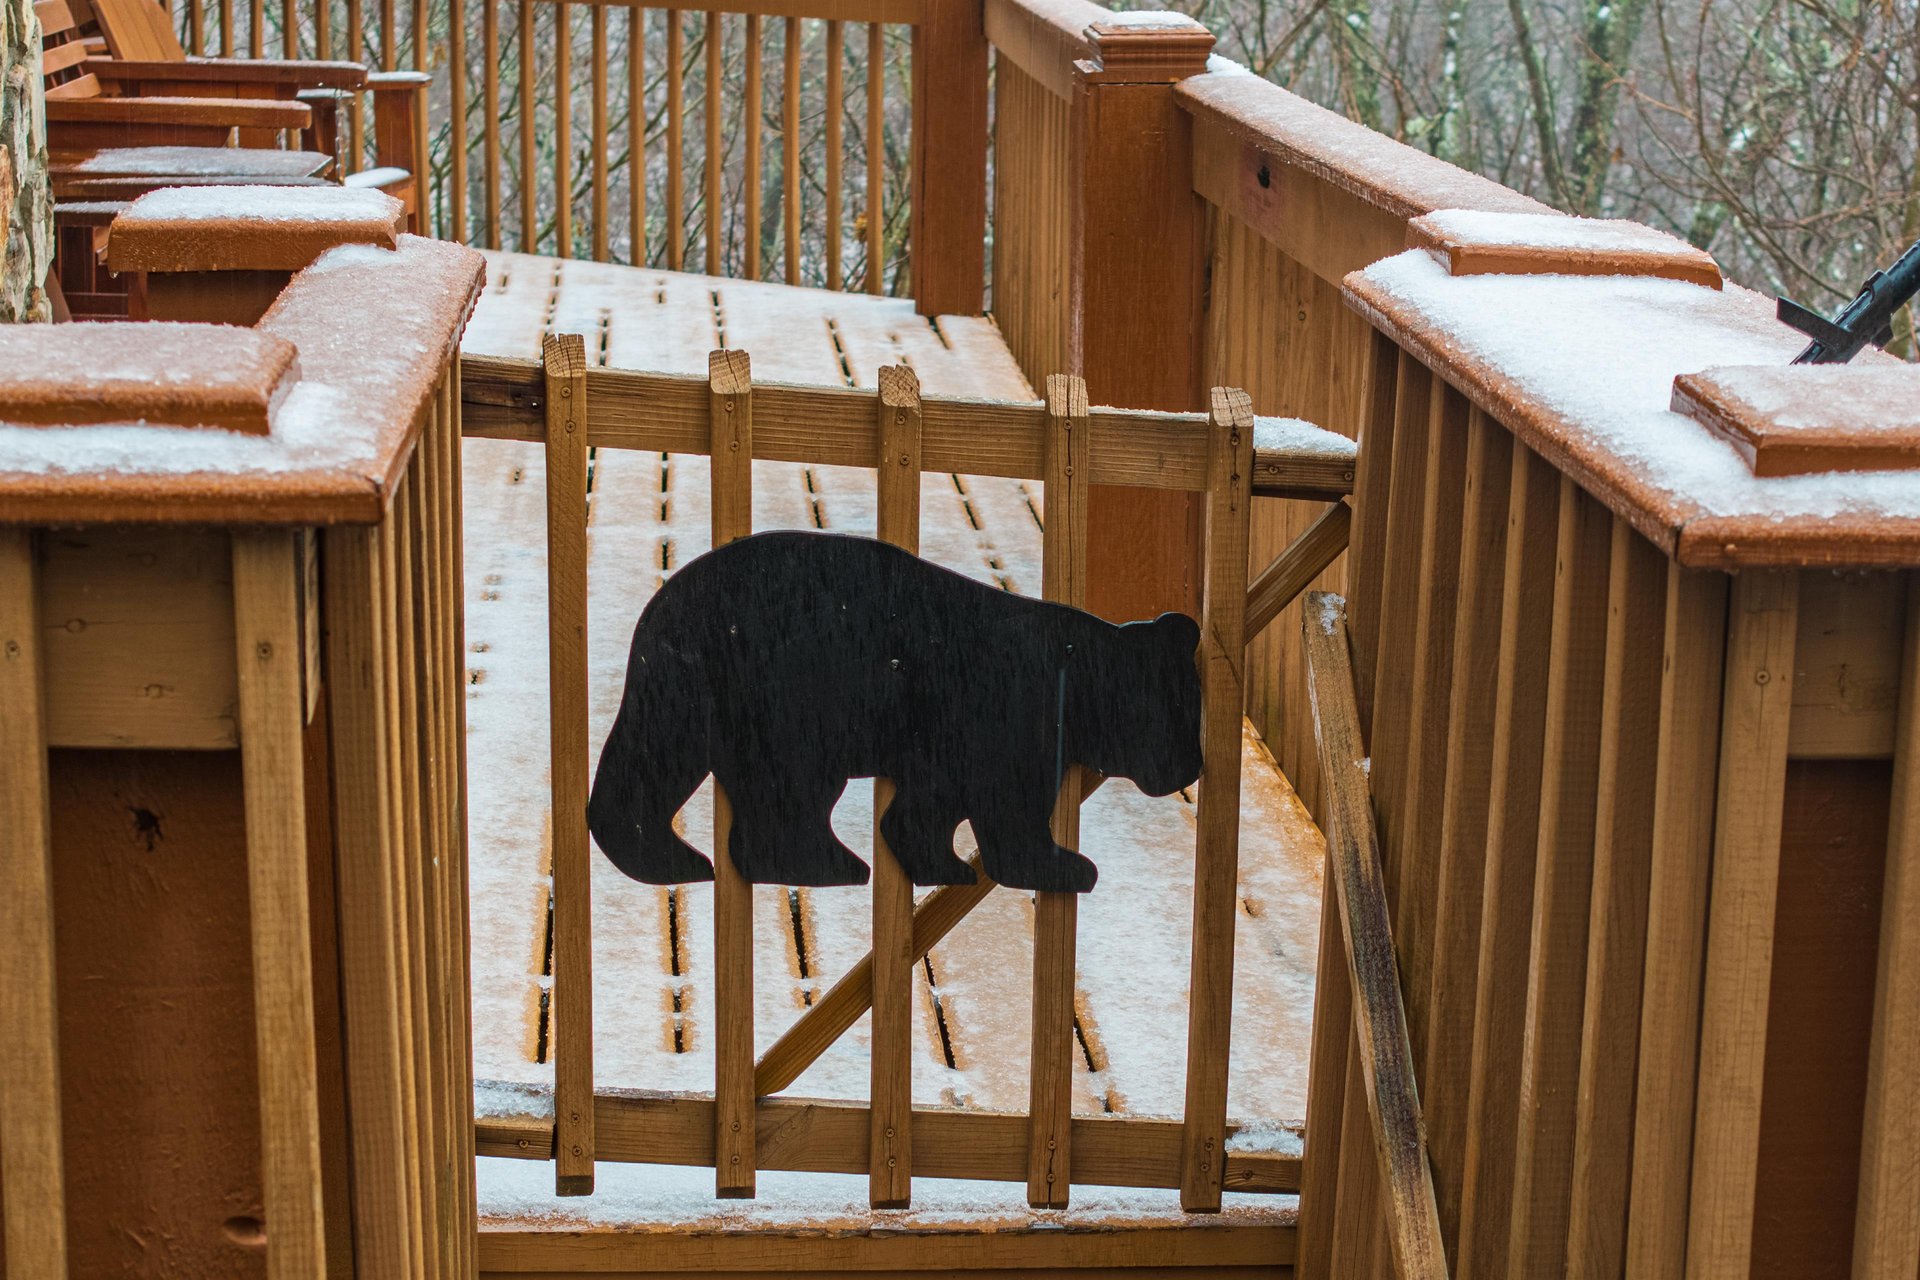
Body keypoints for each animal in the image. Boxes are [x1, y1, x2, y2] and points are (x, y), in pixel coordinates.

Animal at [585, 529, 1203, 894]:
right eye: (1180, 715)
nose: (1193, 766)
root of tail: (661, 616)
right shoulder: (1009, 732)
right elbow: (1012, 818)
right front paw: (1063, 867)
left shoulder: (944, 751)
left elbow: (918, 815)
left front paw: (942, 868)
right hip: (791, 712)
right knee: (784, 805)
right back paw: (832, 867)